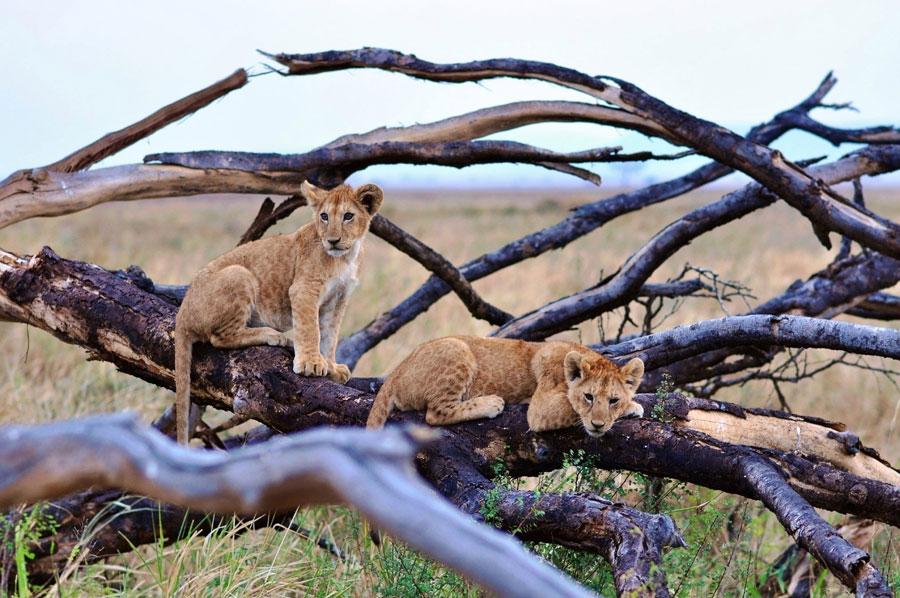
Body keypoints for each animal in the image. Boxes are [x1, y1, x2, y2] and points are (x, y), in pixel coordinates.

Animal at [173, 181, 383, 444]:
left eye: (348, 216)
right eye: (324, 216)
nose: (333, 240)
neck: (346, 256)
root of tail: (182, 315)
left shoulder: (339, 300)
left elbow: (330, 335)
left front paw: (331, 367)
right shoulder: (304, 289)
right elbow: (310, 329)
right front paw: (311, 364)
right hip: (239, 273)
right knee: (220, 337)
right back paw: (274, 336)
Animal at [366, 335, 644, 436]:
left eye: (613, 400)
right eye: (588, 397)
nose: (598, 426)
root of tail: (396, 371)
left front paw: (632, 405)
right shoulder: (539, 410)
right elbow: (570, 408)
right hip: (458, 348)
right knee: (435, 413)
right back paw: (490, 404)